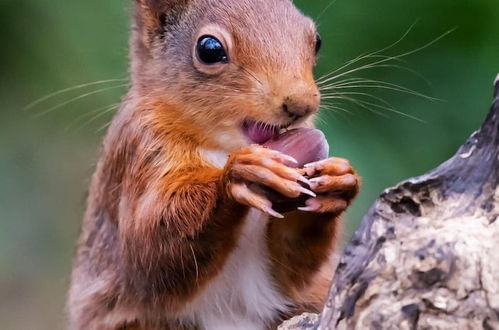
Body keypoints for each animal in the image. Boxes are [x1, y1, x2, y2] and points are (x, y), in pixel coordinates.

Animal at [69, 0, 360, 328]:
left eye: (317, 41)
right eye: (209, 49)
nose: (301, 105)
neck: (224, 147)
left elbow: (294, 268)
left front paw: (339, 181)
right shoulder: (138, 149)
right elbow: (150, 249)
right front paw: (240, 176)